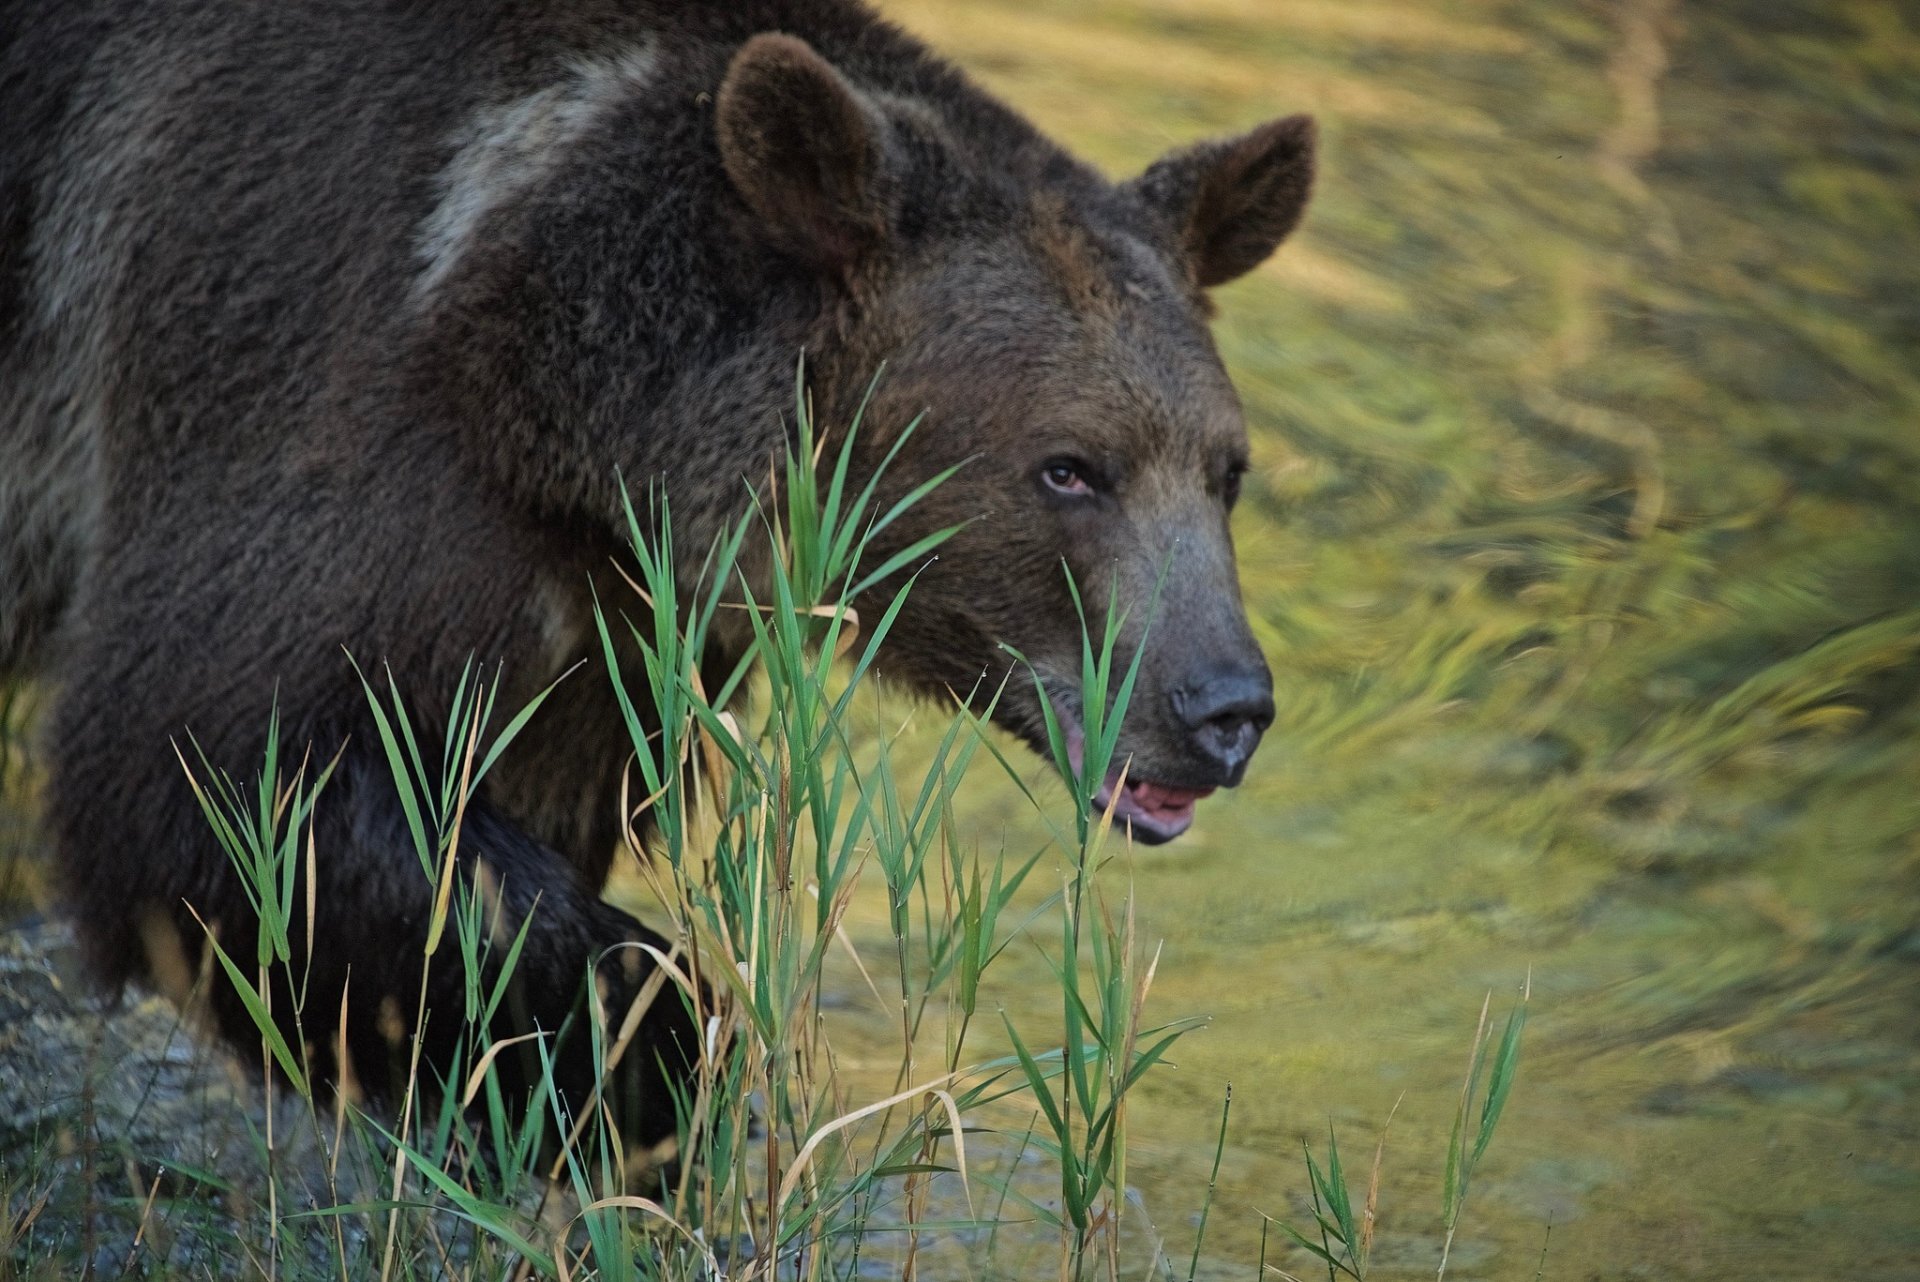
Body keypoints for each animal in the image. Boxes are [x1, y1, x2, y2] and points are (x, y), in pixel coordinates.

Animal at [0, 0, 1305, 1143]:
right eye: (1071, 468)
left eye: (1224, 469)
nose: (1224, 705)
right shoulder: (290, 351)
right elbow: (216, 771)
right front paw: (658, 1043)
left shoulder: (597, 627)